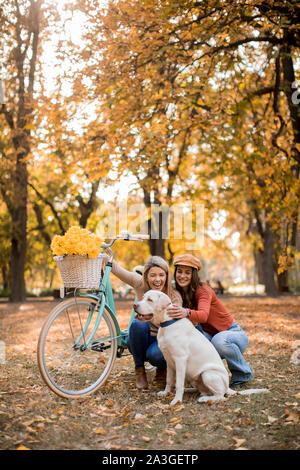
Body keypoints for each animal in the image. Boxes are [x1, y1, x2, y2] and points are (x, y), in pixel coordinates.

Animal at [134, 288, 268, 406]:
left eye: (150, 300)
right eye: (143, 297)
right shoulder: (169, 361)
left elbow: (179, 383)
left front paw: (177, 400)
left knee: (221, 396)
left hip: (208, 374)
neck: (167, 323)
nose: (135, 305)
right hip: (195, 378)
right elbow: (169, 380)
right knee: (202, 390)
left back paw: (204, 399)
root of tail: (228, 387)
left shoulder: (180, 359)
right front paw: (166, 392)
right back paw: (191, 391)